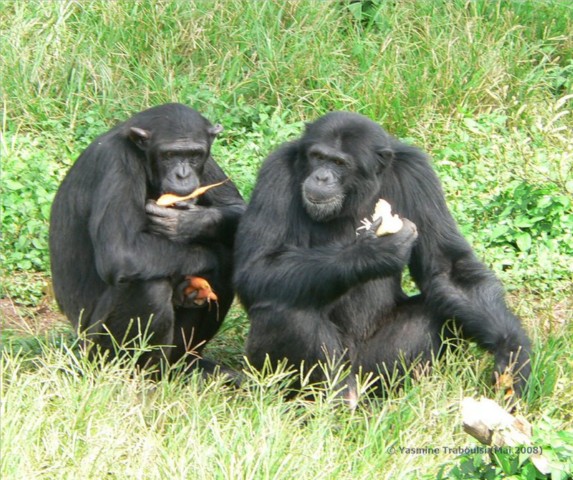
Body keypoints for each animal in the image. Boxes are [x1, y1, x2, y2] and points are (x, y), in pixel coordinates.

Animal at [49, 103, 244, 374]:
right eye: (169, 155)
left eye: (194, 155)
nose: (183, 174)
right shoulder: (117, 163)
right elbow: (120, 252)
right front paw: (214, 256)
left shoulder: (207, 163)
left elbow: (238, 207)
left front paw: (186, 222)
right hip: (95, 350)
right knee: (150, 288)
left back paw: (189, 366)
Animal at [233, 110, 532, 400]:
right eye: (317, 157)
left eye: (340, 163)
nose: (321, 177)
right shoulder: (275, 173)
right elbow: (256, 268)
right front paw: (372, 252)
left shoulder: (418, 174)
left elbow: (447, 268)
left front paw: (512, 354)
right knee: (284, 310)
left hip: (369, 370)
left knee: (431, 313)